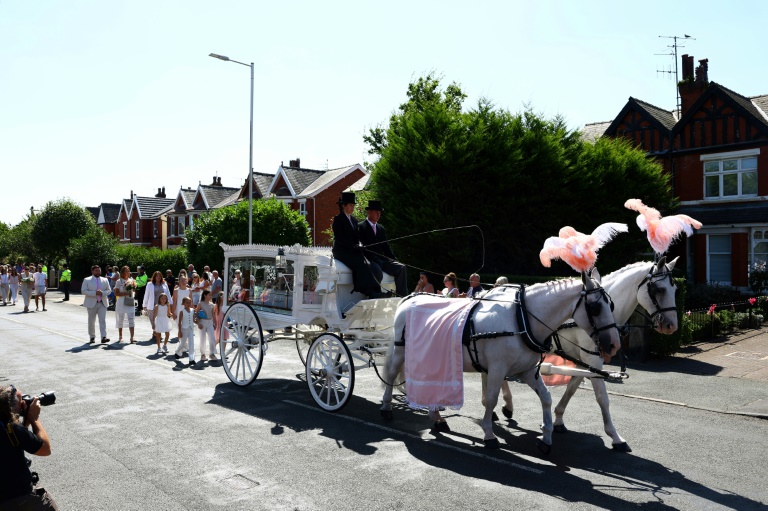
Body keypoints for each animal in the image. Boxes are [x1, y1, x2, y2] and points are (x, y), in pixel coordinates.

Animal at [380, 272, 620, 452]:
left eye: (612, 305)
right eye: (595, 307)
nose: (614, 345)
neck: (521, 318)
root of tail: (409, 298)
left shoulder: (527, 370)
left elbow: (546, 398)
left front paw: (546, 438)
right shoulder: (497, 369)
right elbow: (491, 399)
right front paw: (489, 434)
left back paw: (437, 417)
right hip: (402, 352)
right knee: (391, 374)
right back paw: (386, 408)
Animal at [486, 256, 680, 452]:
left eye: (675, 289)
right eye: (659, 289)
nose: (671, 325)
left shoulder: (584, 361)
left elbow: (572, 388)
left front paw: (558, 419)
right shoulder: (592, 359)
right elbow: (602, 398)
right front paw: (615, 437)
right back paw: (502, 407)